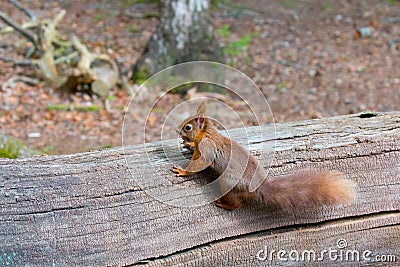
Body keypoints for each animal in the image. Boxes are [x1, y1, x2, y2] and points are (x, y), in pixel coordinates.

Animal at [171, 100, 356, 211]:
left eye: (188, 127)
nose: (177, 130)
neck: (206, 134)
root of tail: (258, 187)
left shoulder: (207, 148)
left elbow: (200, 163)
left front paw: (182, 171)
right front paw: (189, 145)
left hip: (229, 183)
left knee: (237, 204)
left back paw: (224, 203)